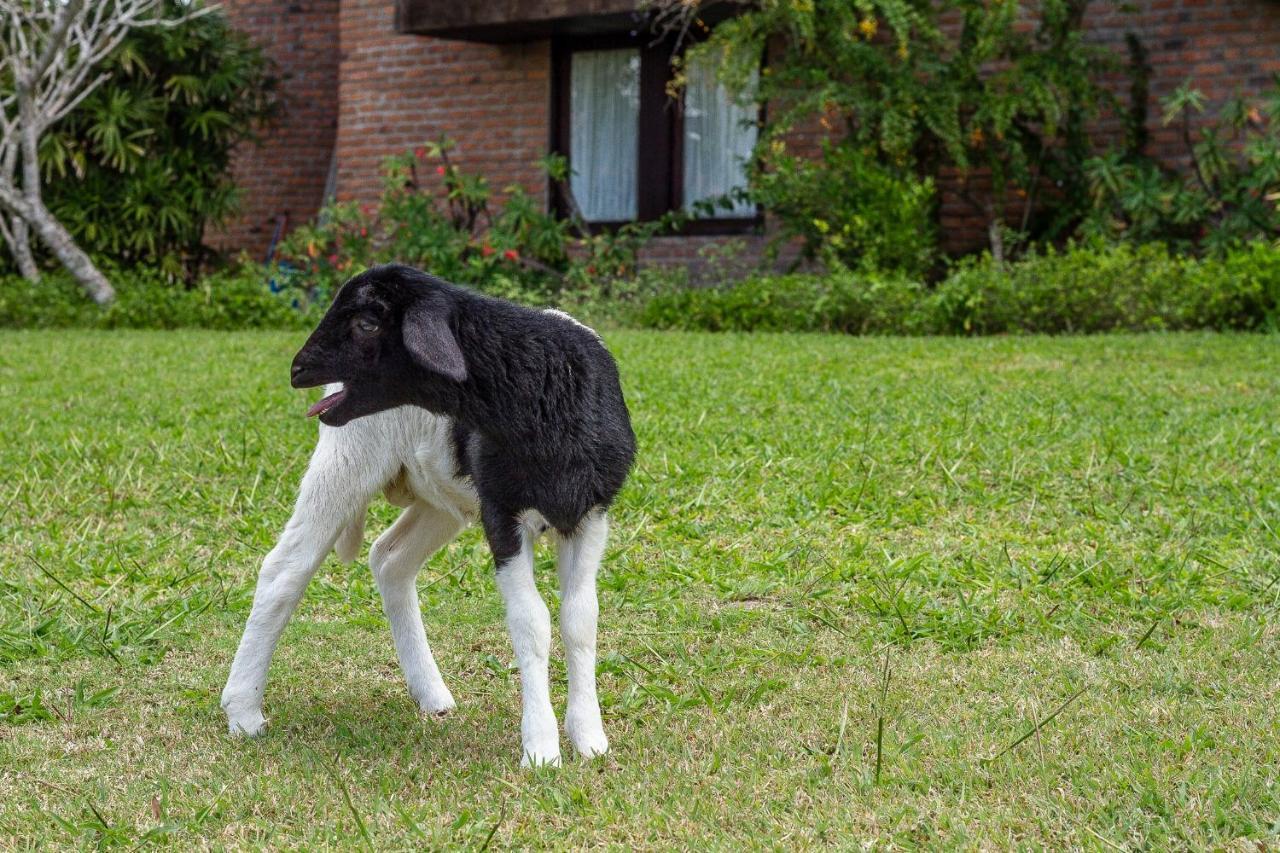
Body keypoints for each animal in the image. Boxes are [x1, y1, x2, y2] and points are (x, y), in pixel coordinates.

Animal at [225, 263, 640, 763]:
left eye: (367, 323)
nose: (297, 369)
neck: (544, 399)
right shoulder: (502, 512)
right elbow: (531, 622)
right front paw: (541, 749)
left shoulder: (589, 514)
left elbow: (580, 619)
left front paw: (589, 738)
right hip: (347, 459)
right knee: (284, 570)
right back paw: (243, 711)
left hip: (441, 496)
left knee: (389, 559)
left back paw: (431, 694)